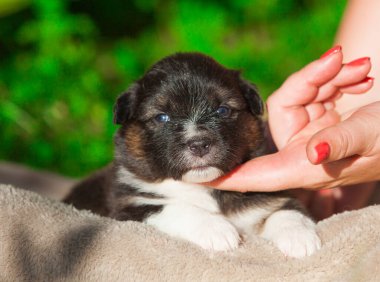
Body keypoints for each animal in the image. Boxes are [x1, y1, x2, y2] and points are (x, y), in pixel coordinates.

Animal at [64, 53, 320, 258]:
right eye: (162, 117)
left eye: (223, 110)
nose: (199, 144)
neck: (202, 187)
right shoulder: (129, 208)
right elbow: (173, 208)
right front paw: (217, 230)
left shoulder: (271, 195)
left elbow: (286, 209)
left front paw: (300, 237)